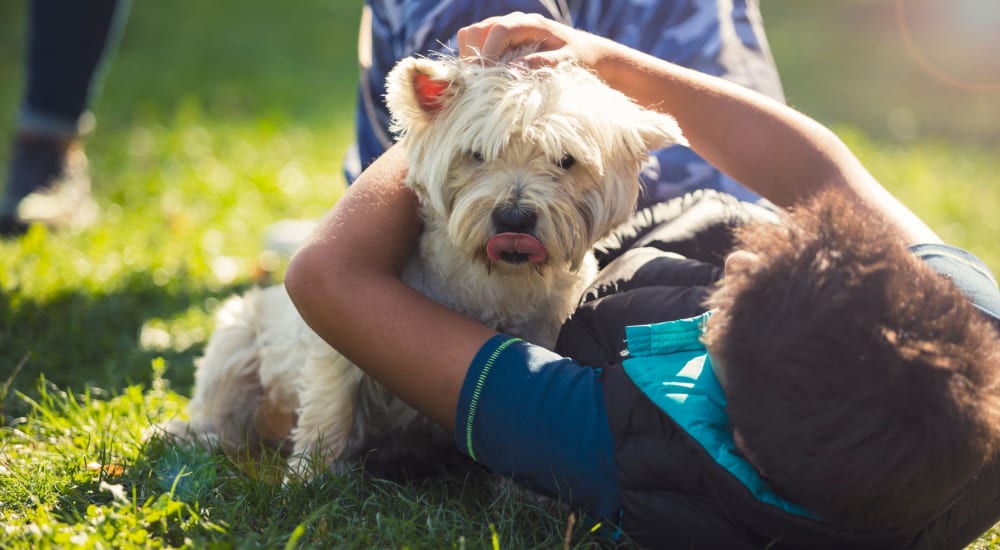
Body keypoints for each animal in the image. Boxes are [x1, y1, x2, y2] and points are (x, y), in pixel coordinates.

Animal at [172, 48, 688, 478]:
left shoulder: (544, 329)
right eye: (476, 155)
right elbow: (329, 403)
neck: (494, 278)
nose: (514, 217)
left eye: (566, 161)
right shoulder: (337, 331)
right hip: (237, 333)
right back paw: (201, 439)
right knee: (220, 408)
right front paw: (308, 477)